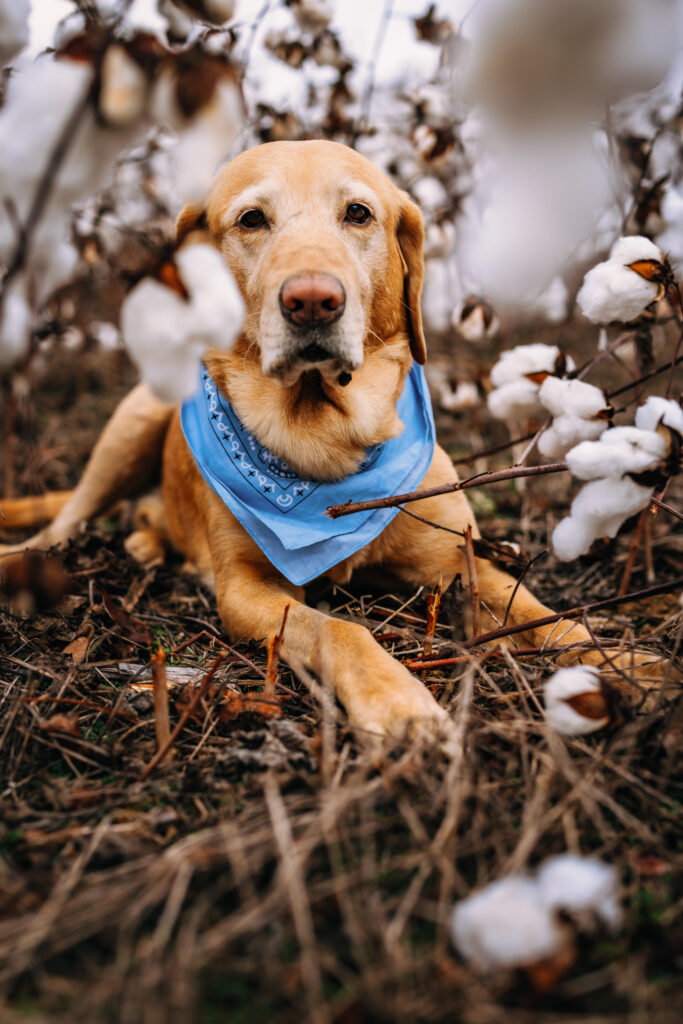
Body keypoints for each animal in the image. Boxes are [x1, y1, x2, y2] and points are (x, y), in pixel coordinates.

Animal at [0, 142, 663, 737]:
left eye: (358, 213)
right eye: (251, 219)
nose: (313, 301)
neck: (325, 443)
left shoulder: (459, 561)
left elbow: (545, 615)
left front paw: (622, 661)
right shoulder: (244, 590)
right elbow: (336, 627)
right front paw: (394, 696)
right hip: (136, 418)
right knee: (67, 518)